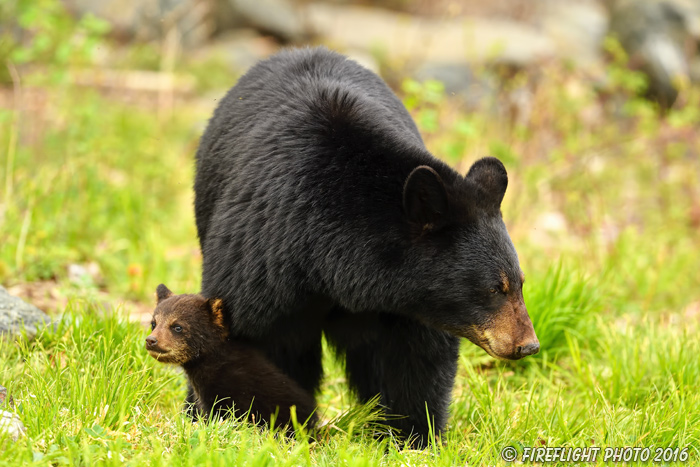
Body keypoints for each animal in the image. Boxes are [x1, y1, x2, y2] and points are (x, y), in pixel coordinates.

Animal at [194, 46, 540, 446]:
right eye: (494, 288)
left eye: (520, 282)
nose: (528, 344)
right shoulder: (261, 255)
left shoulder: (404, 307)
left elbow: (416, 359)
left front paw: (414, 435)